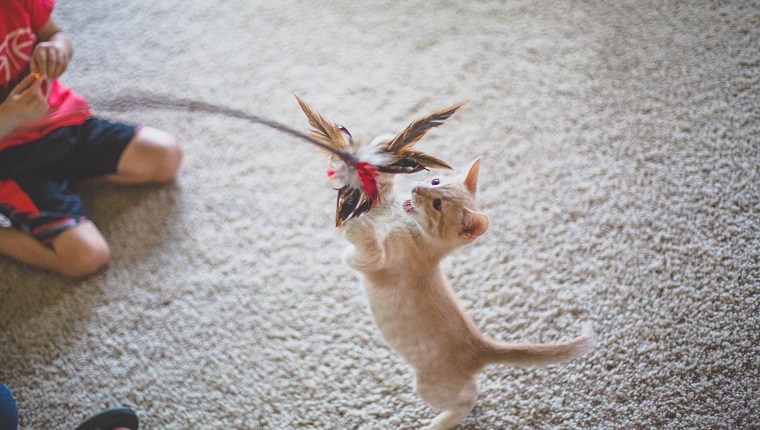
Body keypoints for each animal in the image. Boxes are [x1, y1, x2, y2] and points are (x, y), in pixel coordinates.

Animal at [342, 158, 596, 430]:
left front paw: (357, 228)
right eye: (435, 181)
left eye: (437, 204)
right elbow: (382, 187)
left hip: (430, 386)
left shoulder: (378, 263)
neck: (407, 224)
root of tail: (480, 345)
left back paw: (439, 423)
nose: (417, 188)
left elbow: (369, 251)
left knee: (468, 399)